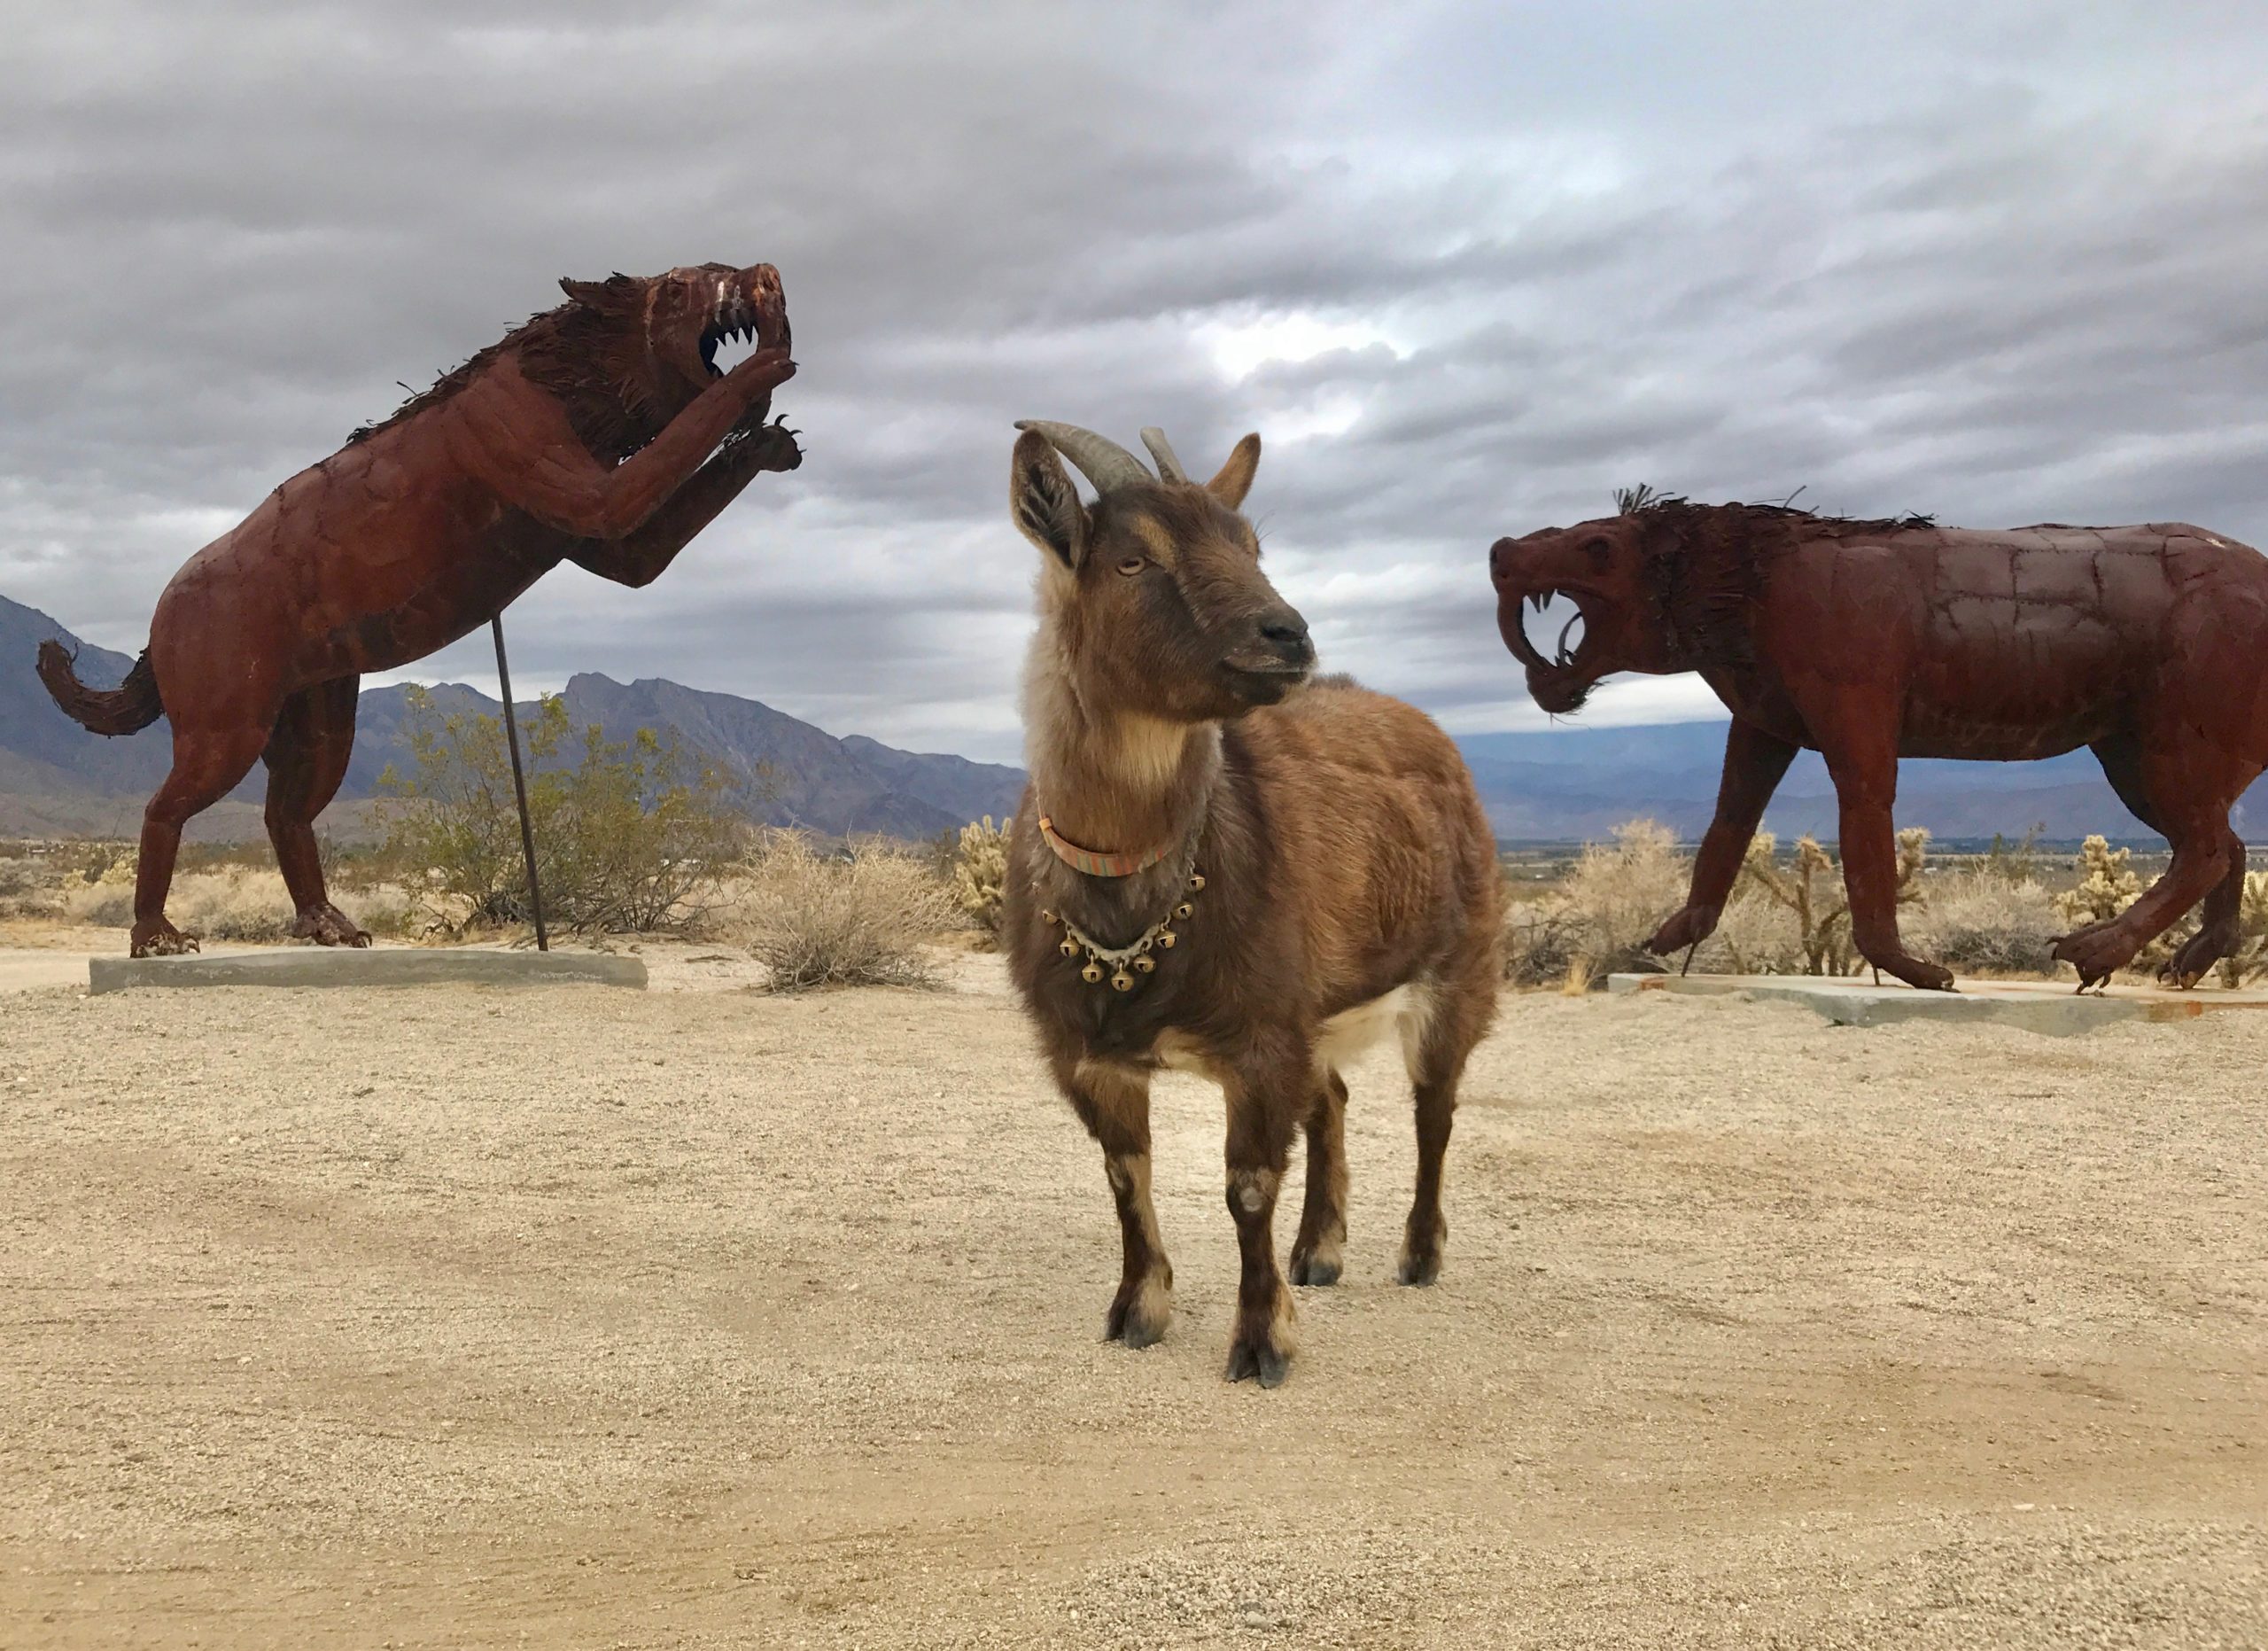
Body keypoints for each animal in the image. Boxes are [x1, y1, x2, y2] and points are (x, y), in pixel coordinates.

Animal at [998, 419, 1496, 1388]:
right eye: (1133, 559)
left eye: (1251, 545)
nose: (1287, 635)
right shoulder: (1087, 1054)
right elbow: (1125, 1175)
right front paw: (1138, 1310)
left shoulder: (1262, 1038)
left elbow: (1248, 1187)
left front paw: (1262, 1341)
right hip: (1319, 1005)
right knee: (1333, 1099)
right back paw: (1321, 1251)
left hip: (1459, 971)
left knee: (1435, 1110)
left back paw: (1418, 1254)